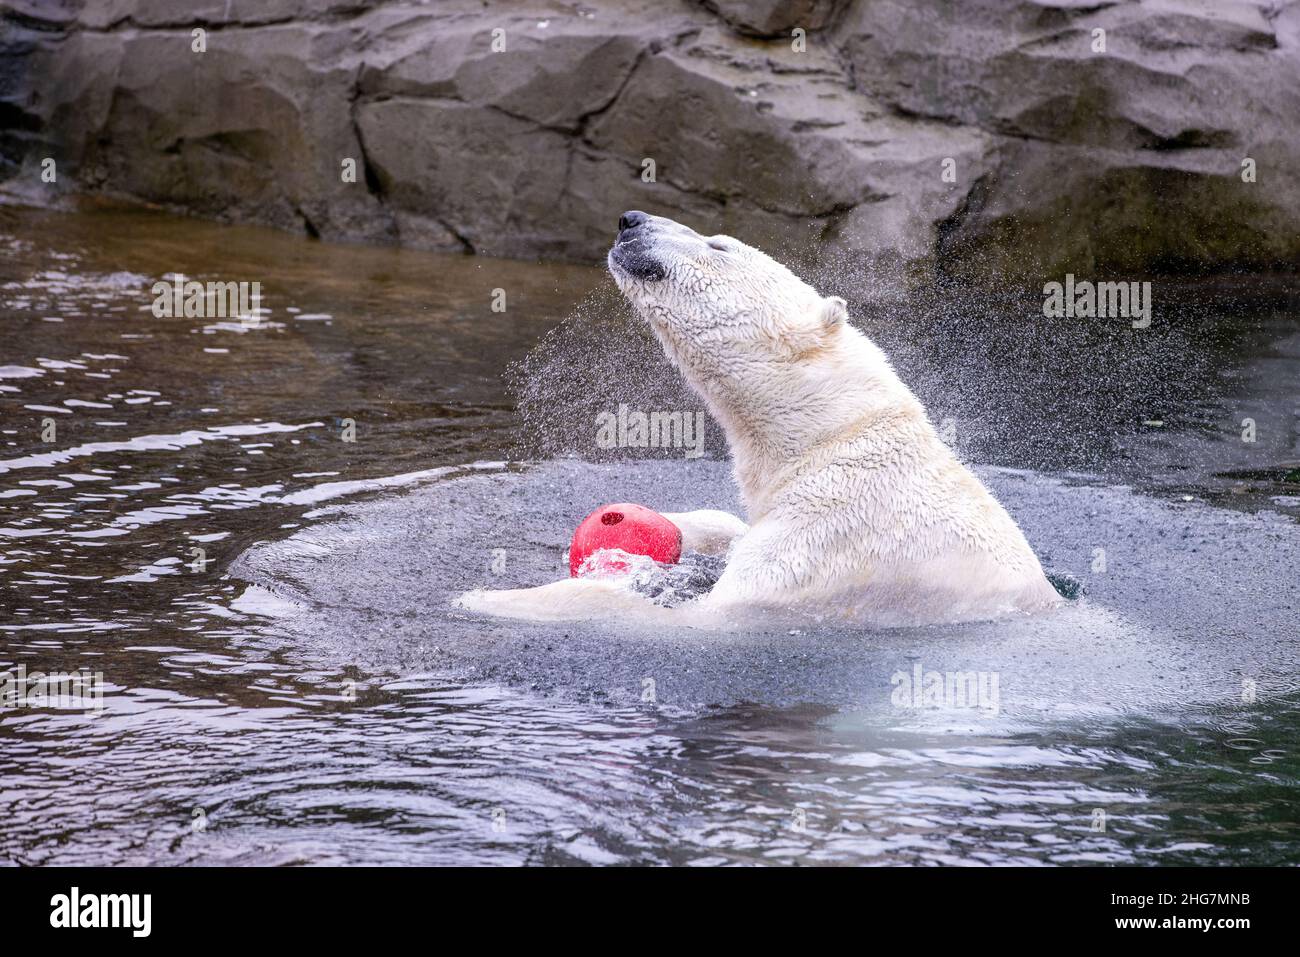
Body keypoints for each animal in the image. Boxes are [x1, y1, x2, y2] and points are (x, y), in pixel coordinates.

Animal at [456, 211, 1062, 627]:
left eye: (718, 244)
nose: (631, 220)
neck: (832, 439)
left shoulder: (826, 548)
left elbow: (692, 614)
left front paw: (488, 598)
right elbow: (726, 523)